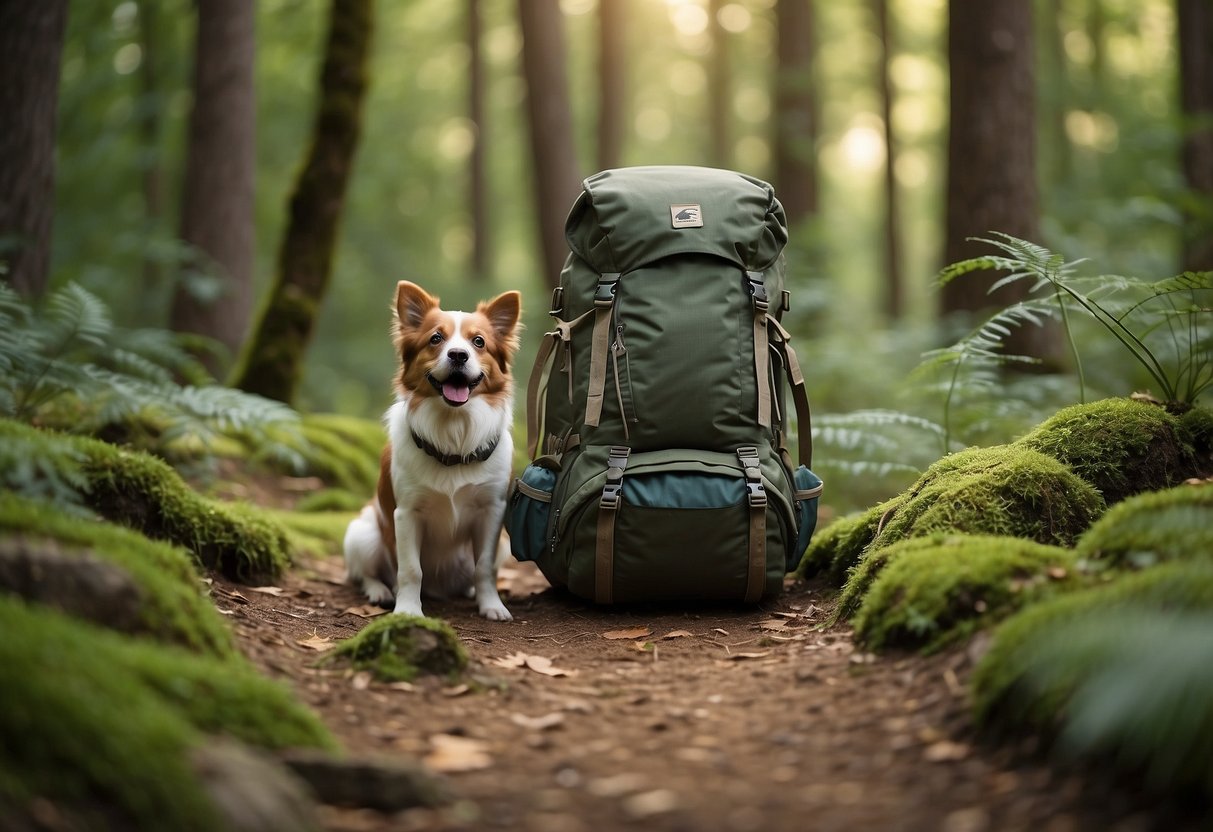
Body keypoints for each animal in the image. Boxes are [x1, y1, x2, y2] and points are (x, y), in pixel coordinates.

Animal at [346, 283, 526, 620]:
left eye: (478, 341)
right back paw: (379, 591)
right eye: (436, 339)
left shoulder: (492, 512)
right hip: (362, 535)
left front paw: (492, 606)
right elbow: (410, 570)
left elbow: (484, 568)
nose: (458, 355)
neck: (453, 433)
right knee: (364, 573)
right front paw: (407, 609)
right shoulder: (406, 514)